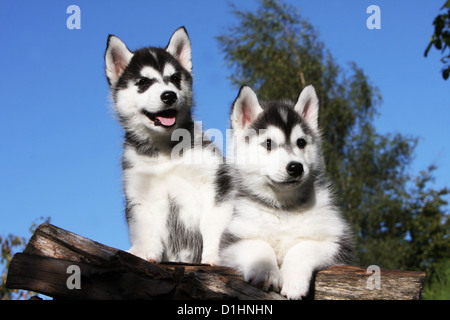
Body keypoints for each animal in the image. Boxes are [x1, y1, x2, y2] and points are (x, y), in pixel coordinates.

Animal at [106, 26, 225, 262]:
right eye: (143, 82)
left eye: (175, 78)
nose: (169, 95)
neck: (165, 151)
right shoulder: (139, 192)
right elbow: (143, 226)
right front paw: (143, 251)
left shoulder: (215, 184)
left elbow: (215, 225)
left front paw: (216, 257)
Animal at [216, 84, 354, 298]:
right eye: (268, 143)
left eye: (301, 142)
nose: (296, 167)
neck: (284, 209)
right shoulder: (232, 240)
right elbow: (259, 245)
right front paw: (266, 272)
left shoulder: (339, 241)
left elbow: (304, 247)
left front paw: (293, 280)